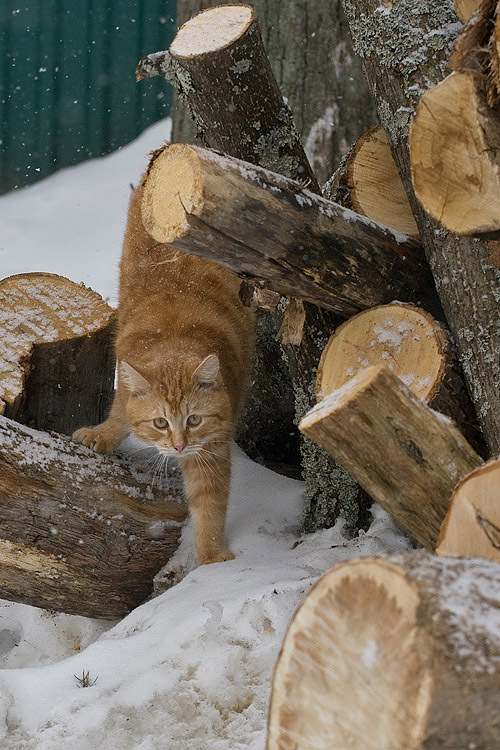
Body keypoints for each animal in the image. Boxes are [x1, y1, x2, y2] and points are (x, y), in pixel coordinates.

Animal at [73, 176, 254, 564]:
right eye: (159, 422)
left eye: (194, 420)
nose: (179, 445)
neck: (170, 335)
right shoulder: (124, 378)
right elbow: (119, 411)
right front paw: (104, 433)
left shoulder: (211, 449)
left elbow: (208, 504)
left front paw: (211, 556)